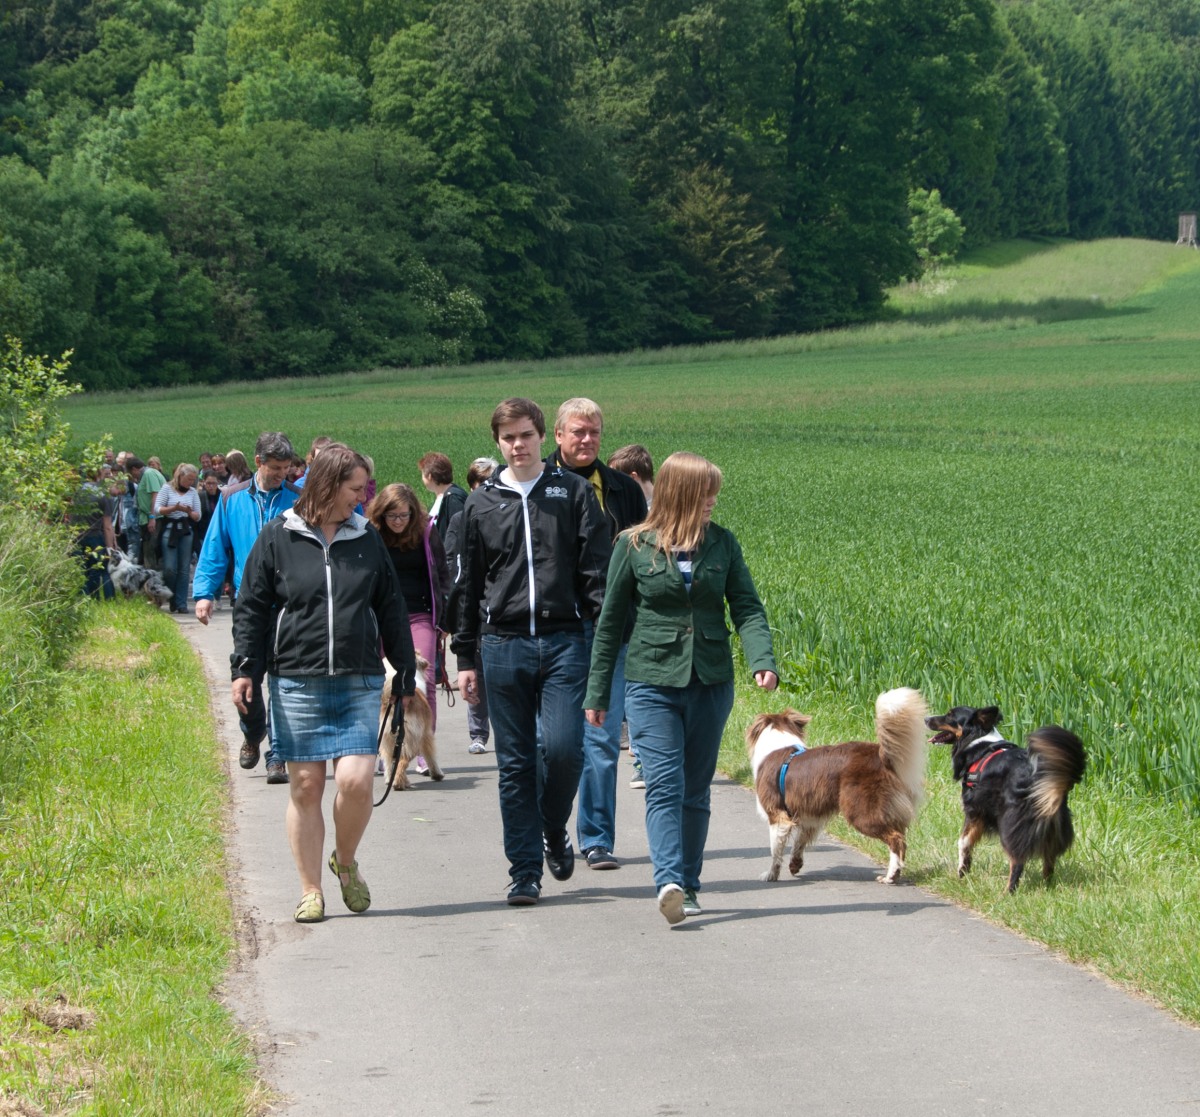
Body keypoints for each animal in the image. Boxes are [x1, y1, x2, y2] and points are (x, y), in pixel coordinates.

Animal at [379, 652, 441, 791]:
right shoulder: (426, 736)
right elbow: (431, 756)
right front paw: (437, 774)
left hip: (388, 740)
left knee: (390, 762)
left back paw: (392, 781)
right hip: (411, 740)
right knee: (402, 762)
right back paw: (398, 783)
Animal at [744, 691, 931, 883]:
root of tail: (881, 756)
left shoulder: (777, 816)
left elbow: (775, 851)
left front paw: (771, 874)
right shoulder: (809, 815)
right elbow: (799, 842)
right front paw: (795, 864)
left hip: (862, 811)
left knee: (896, 839)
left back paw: (890, 876)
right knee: (902, 839)